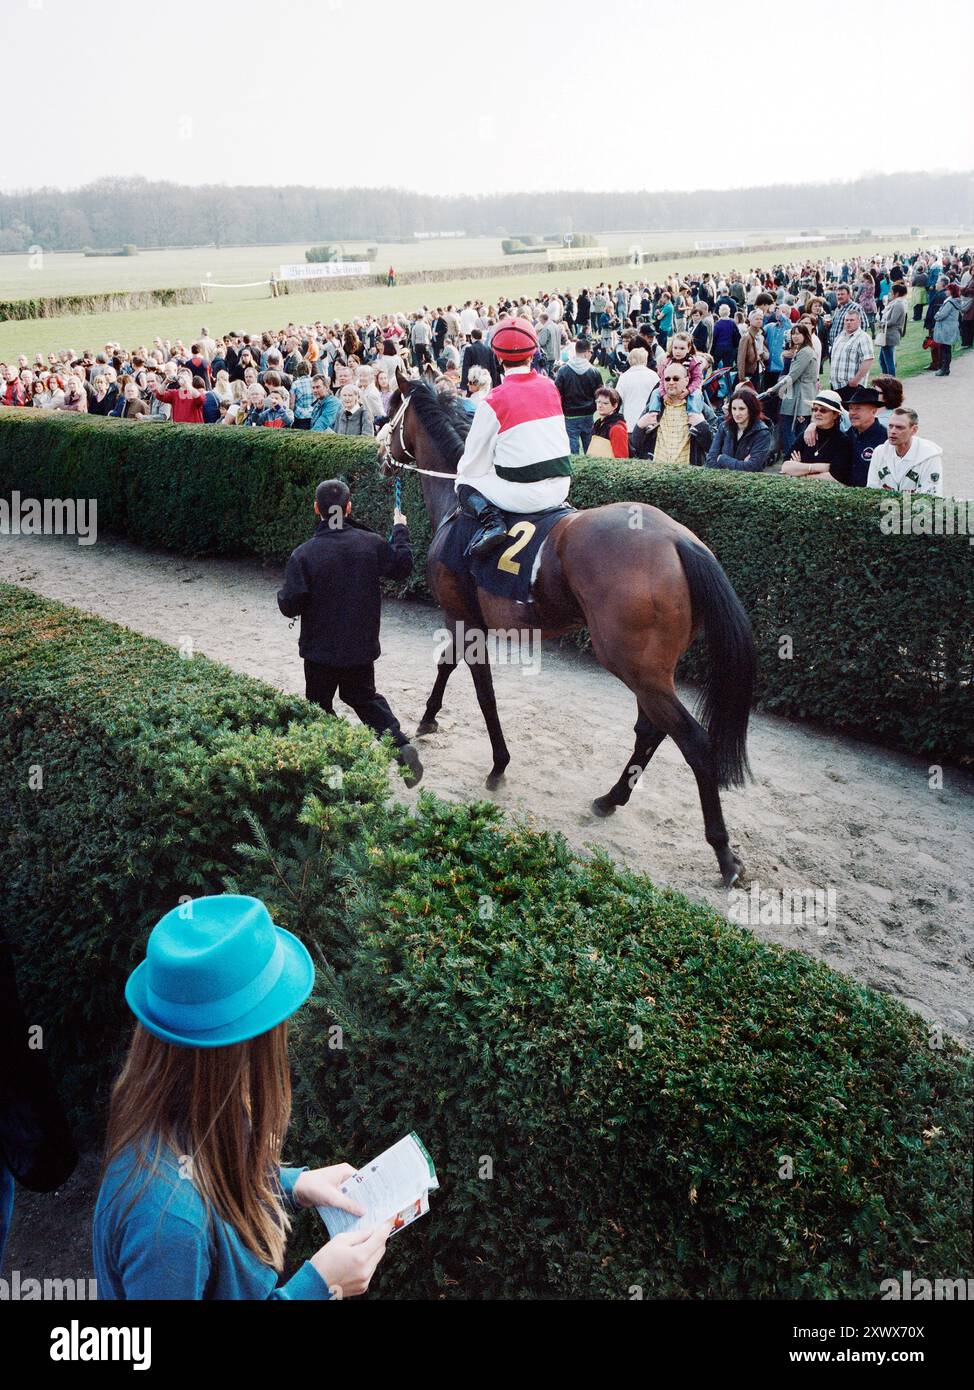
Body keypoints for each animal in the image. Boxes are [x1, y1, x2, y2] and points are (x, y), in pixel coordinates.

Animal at [375, 372, 755, 889]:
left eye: (390, 408)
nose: (378, 455)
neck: (458, 503)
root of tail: (681, 541)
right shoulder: (464, 619)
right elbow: (448, 669)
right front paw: (430, 719)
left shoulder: (462, 616)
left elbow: (481, 691)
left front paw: (496, 764)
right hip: (652, 668)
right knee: (651, 729)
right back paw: (611, 798)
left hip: (632, 663)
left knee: (693, 740)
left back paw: (723, 852)